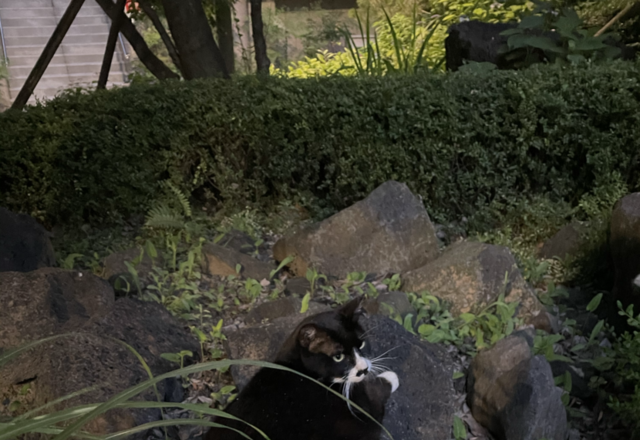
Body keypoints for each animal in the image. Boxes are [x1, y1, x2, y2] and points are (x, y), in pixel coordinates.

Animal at [205, 296, 399, 440]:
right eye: (338, 357)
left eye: (362, 344)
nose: (363, 369)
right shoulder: (365, 417)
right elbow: (377, 395)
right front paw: (391, 377)